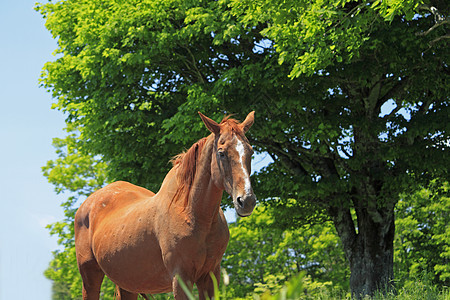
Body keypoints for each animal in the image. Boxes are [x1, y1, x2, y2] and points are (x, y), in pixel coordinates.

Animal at [74, 111, 256, 298]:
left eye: (251, 151)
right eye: (221, 153)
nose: (246, 200)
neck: (194, 214)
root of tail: (87, 204)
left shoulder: (210, 276)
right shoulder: (181, 278)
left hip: (127, 285)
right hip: (90, 277)